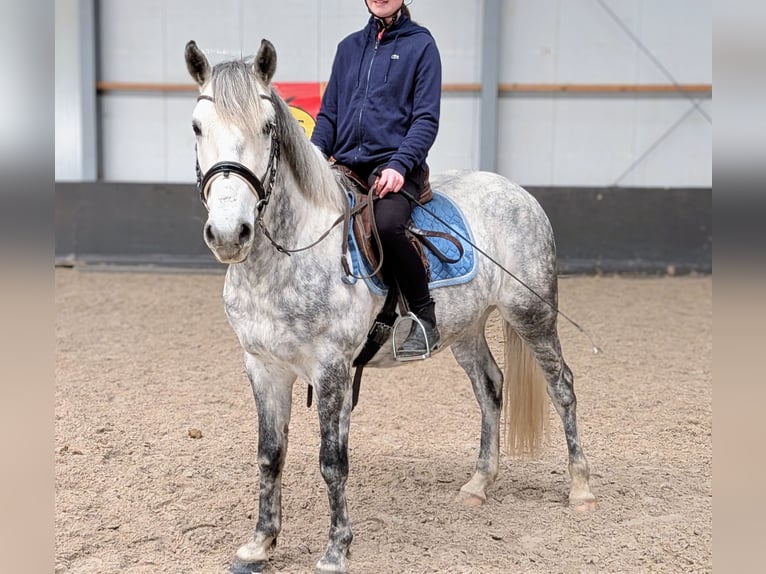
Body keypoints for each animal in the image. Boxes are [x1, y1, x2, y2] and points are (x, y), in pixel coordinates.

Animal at [185, 39, 595, 573]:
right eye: (197, 127)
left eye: (268, 127)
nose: (230, 233)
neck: (288, 257)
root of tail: (518, 192)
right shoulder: (263, 367)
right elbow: (270, 454)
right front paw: (259, 544)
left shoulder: (332, 369)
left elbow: (332, 461)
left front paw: (336, 550)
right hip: (465, 330)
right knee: (490, 388)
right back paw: (478, 485)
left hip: (532, 315)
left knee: (562, 386)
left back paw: (581, 489)